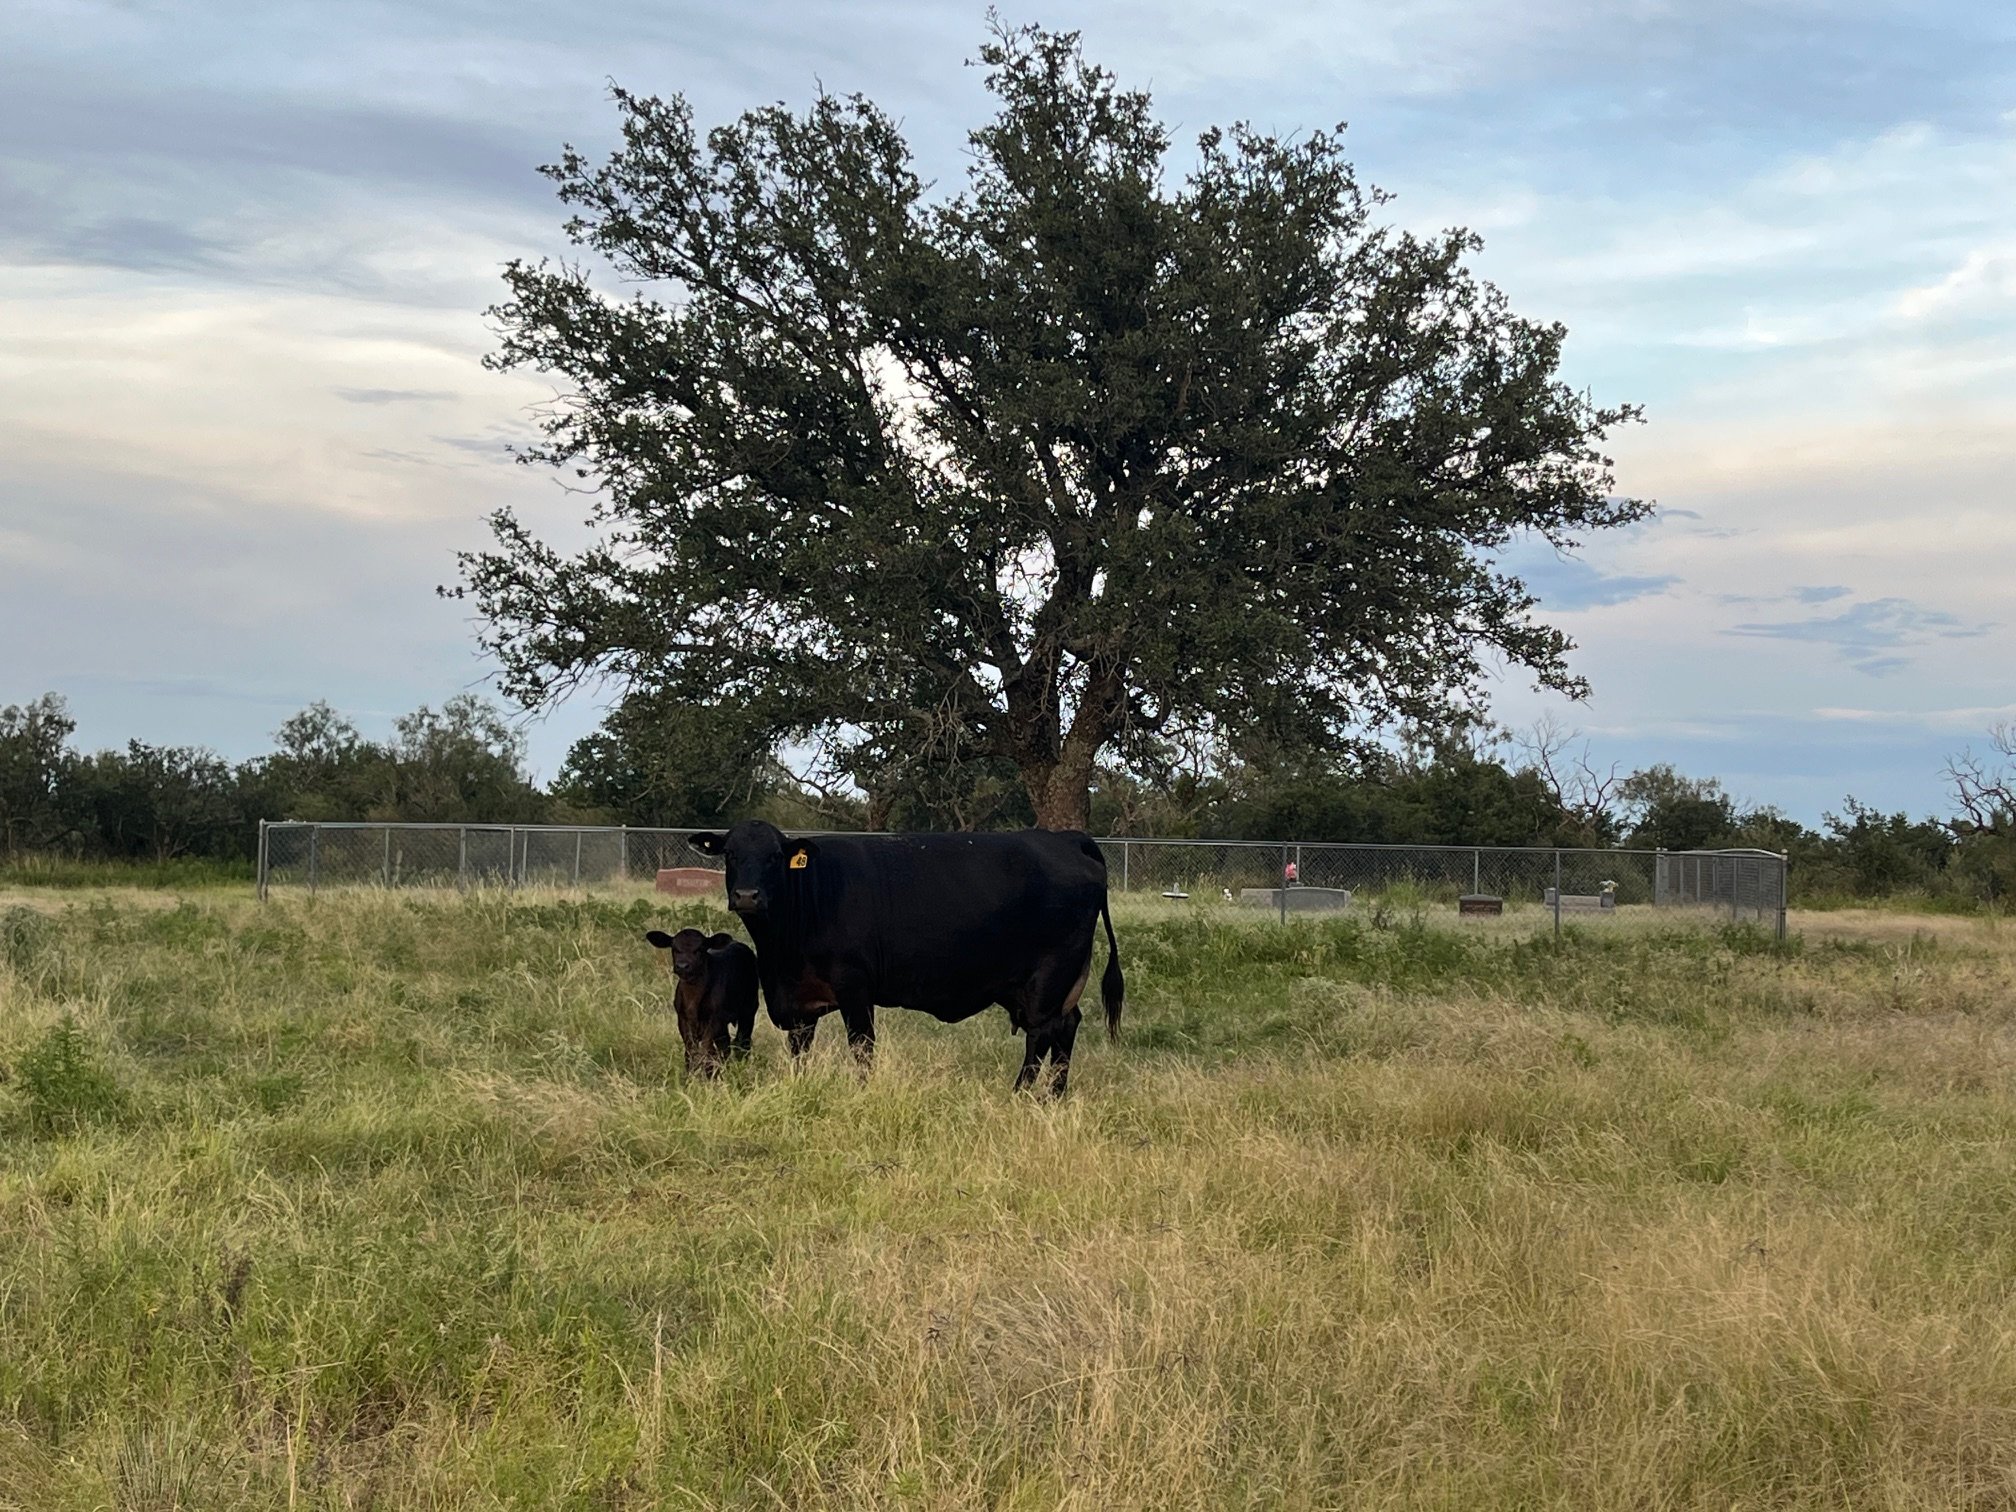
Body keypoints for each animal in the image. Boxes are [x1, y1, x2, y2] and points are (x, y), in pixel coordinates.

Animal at [643, 927, 758, 1077]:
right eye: (674, 948)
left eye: (700, 948)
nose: (682, 966)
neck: (693, 999)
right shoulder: (683, 1019)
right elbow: (691, 1050)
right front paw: (691, 1075)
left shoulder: (715, 1019)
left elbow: (706, 1049)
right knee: (725, 1045)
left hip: (749, 1009)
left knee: (742, 1041)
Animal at [686, 821, 1123, 1095]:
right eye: (730, 854)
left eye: (776, 856)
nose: (747, 896)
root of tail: (1063, 839)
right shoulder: (798, 1001)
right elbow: (799, 1050)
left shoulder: (854, 987)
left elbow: (862, 1046)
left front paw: (862, 1091)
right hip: (1058, 982)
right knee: (1067, 1026)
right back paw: (1054, 1096)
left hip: (1048, 976)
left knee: (1042, 1033)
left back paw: (1020, 1095)